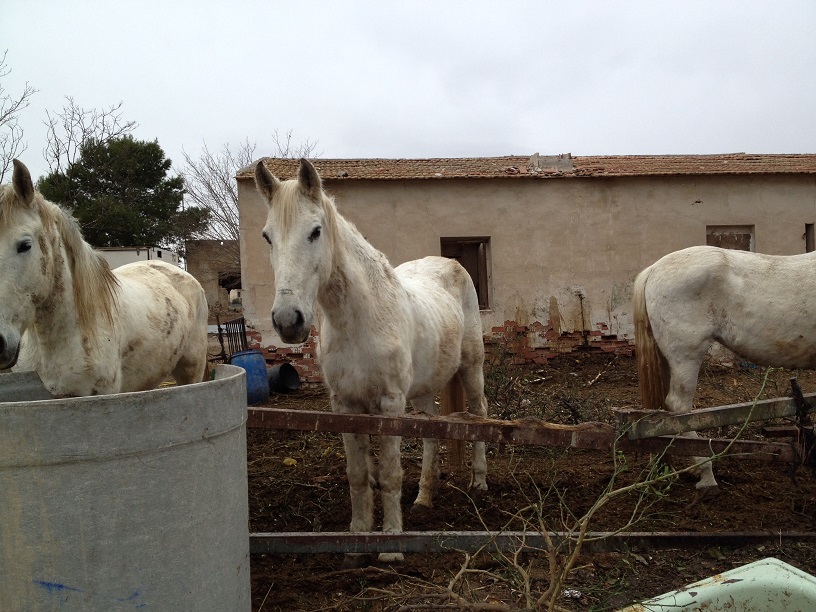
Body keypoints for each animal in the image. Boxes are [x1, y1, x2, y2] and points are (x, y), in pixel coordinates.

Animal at [252, 157, 488, 564]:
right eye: (268, 237)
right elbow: (358, 475)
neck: (361, 319)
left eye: (315, 232)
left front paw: (391, 547)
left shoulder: (390, 404)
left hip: (471, 370)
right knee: (430, 433)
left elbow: (390, 474)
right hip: (421, 392)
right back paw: (424, 498)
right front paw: (356, 543)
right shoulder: (345, 406)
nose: (288, 321)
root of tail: (452, 264)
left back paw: (480, 481)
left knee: (479, 415)